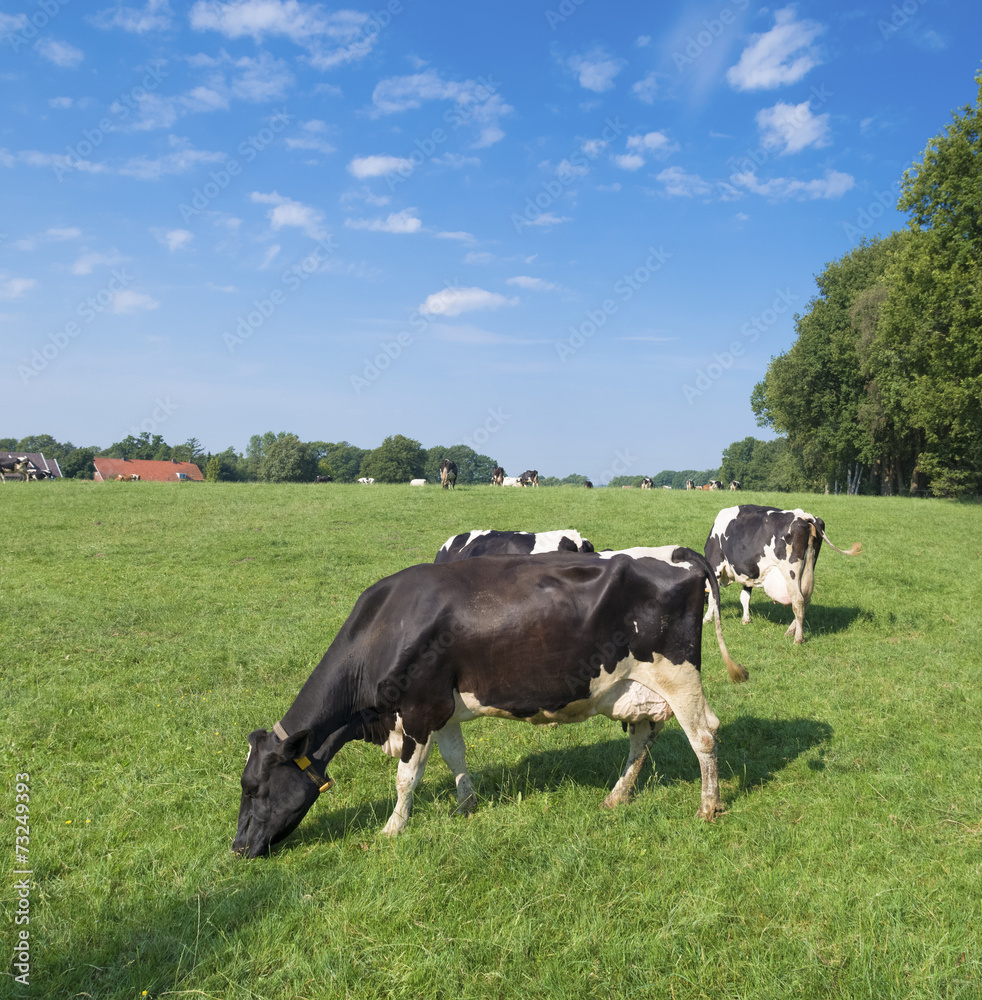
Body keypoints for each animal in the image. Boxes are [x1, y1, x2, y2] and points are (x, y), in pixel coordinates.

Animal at [708, 504, 860, 644]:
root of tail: (804, 515)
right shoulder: (749, 572)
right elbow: (745, 597)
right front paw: (746, 619)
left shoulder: (715, 566)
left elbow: (712, 596)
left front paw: (707, 618)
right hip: (809, 566)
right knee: (805, 600)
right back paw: (790, 631)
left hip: (790, 571)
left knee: (798, 600)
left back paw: (798, 638)